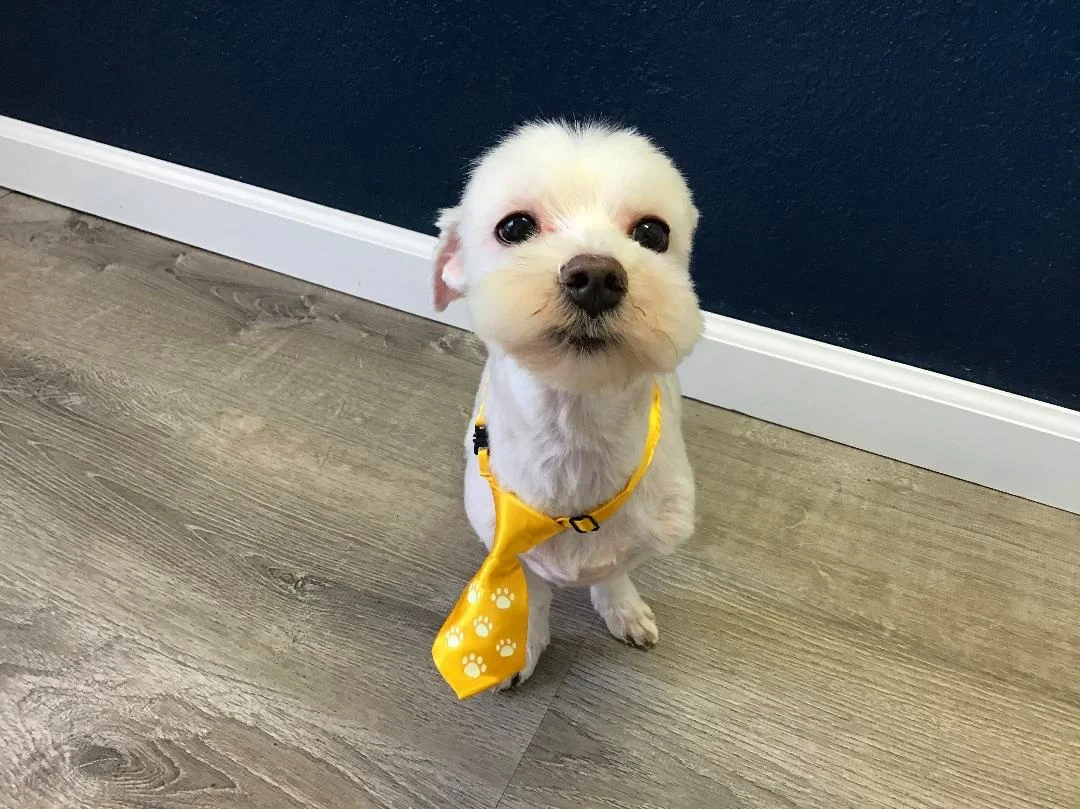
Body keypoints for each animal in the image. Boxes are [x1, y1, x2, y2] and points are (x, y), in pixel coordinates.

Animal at [433, 120, 703, 688]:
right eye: (514, 227)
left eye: (653, 233)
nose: (596, 275)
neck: (574, 435)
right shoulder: (507, 540)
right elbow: (530, 592)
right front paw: (520, 646)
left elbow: (618, 567)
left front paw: (622, 606)